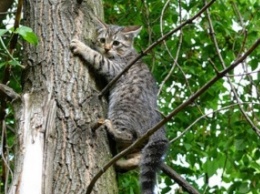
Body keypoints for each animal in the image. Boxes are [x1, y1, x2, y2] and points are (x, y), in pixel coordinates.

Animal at [70, 18, 169, 194]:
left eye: (116, 43)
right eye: (103, 40)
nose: (107, 48)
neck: (125, 53)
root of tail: (158, 124)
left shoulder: (118, 69)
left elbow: (98, 58)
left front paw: (84, 48)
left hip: (121, 110)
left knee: (128, 136)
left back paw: (113, 130)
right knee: (138, 155)